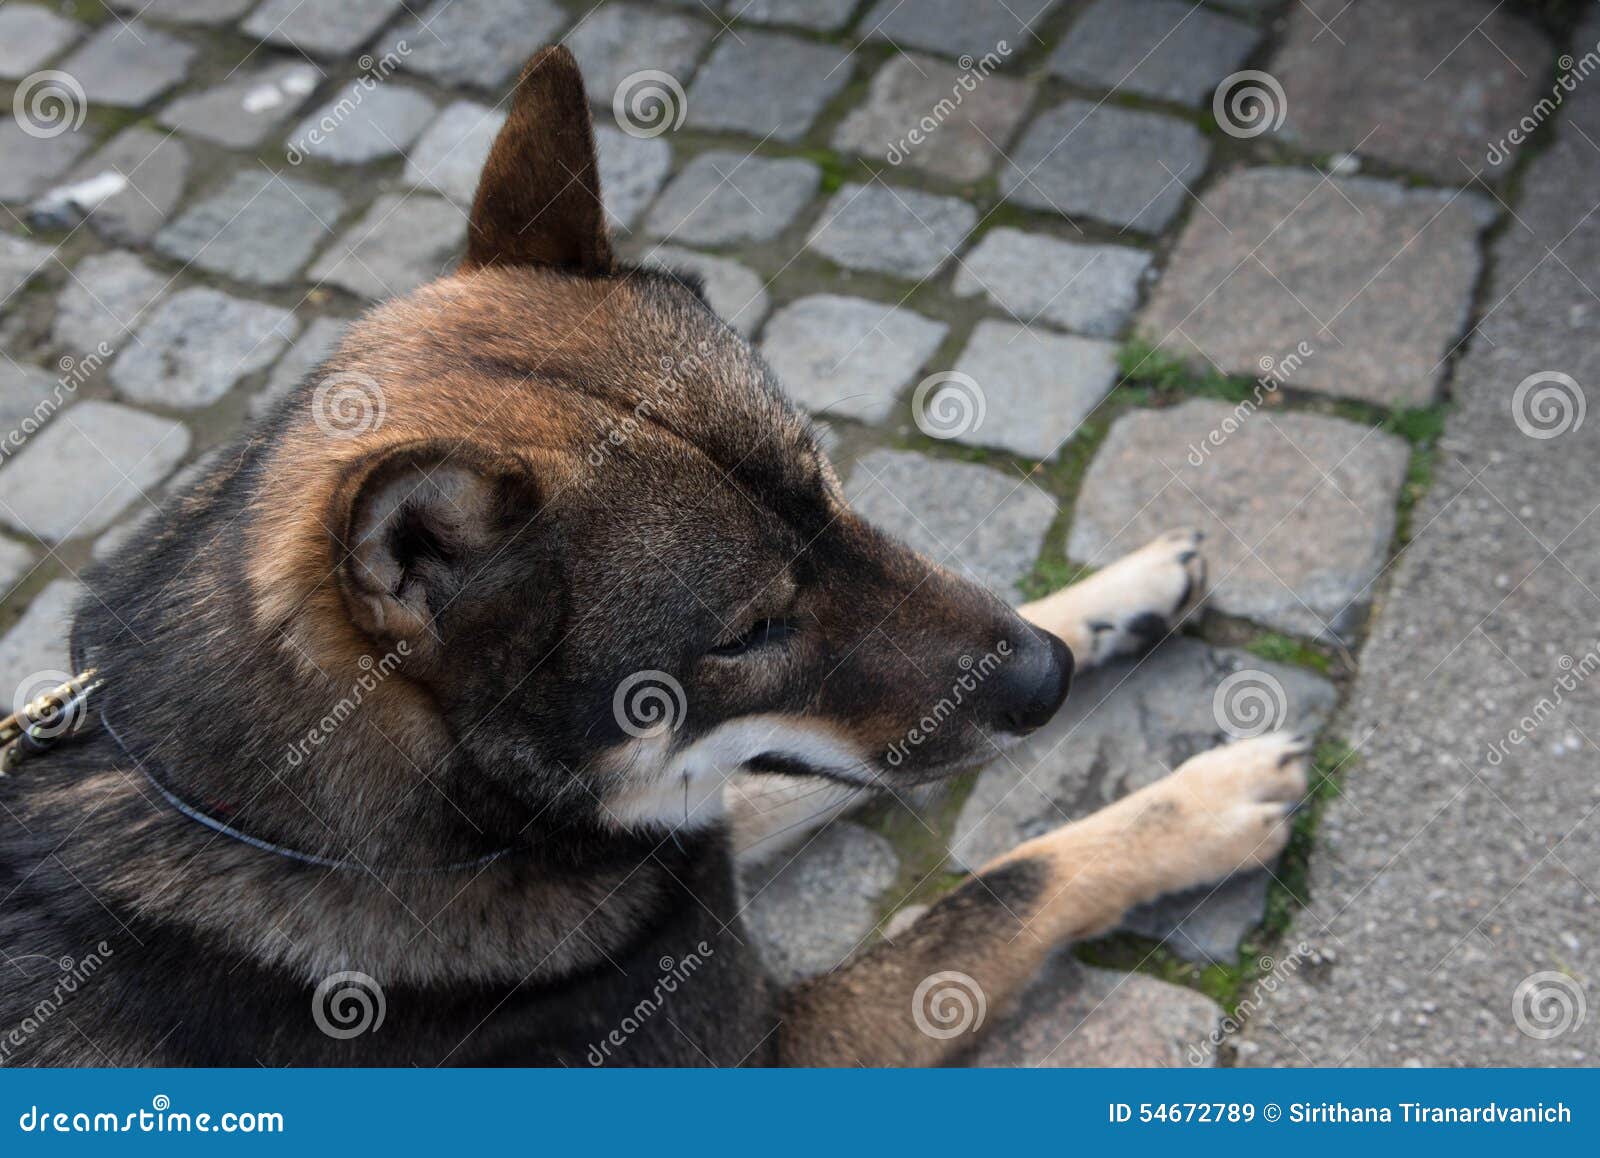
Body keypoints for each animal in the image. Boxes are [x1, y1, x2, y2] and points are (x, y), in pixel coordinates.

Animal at [0, 47, 1299, 1068]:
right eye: (749, 631)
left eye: (826, 489)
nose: (1045, 683)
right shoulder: (771, 1040)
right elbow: (1001, 890)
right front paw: (1207, 805)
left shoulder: (681, 831)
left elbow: (791, 775)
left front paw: (1120, 598)